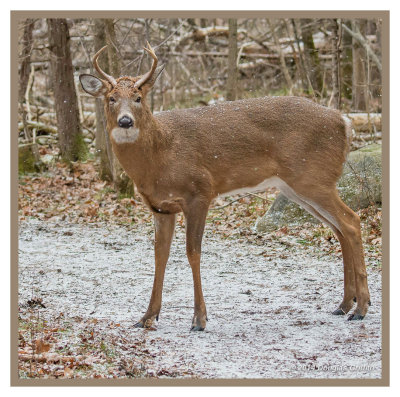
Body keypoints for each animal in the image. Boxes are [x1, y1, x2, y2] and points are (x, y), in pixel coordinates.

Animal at [79, 42, 370, 332]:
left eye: (138, 97)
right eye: (111, 98)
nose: (125, 121)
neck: (160, 155)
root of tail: (345, 122)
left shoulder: (200, 191)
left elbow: (193, 252)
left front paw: (199, 319)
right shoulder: (161, 207)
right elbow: (160, 255)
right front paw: (147, 316)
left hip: (313, 178)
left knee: (351, 221)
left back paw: (361, 308)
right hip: (299, 187)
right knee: (339, 229)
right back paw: (344, 304)